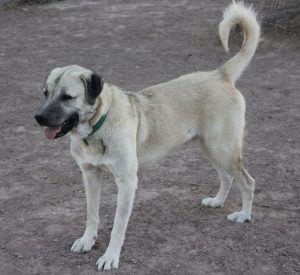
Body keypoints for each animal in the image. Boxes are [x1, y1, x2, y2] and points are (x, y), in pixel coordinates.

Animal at [34, 1, 260, 272]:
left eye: (67, 97)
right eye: (45, 93)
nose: (38, 117)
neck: (98, 127)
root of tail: (219, 74)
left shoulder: (127, 182)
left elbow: (118, 227)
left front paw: (110, 256)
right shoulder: (90, 176)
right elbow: (92, 214)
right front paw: (87, 240)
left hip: (223, 148)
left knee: (247, 181)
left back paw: (244, 215)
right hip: (209, 147)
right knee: (227, 177)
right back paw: (217, 201)